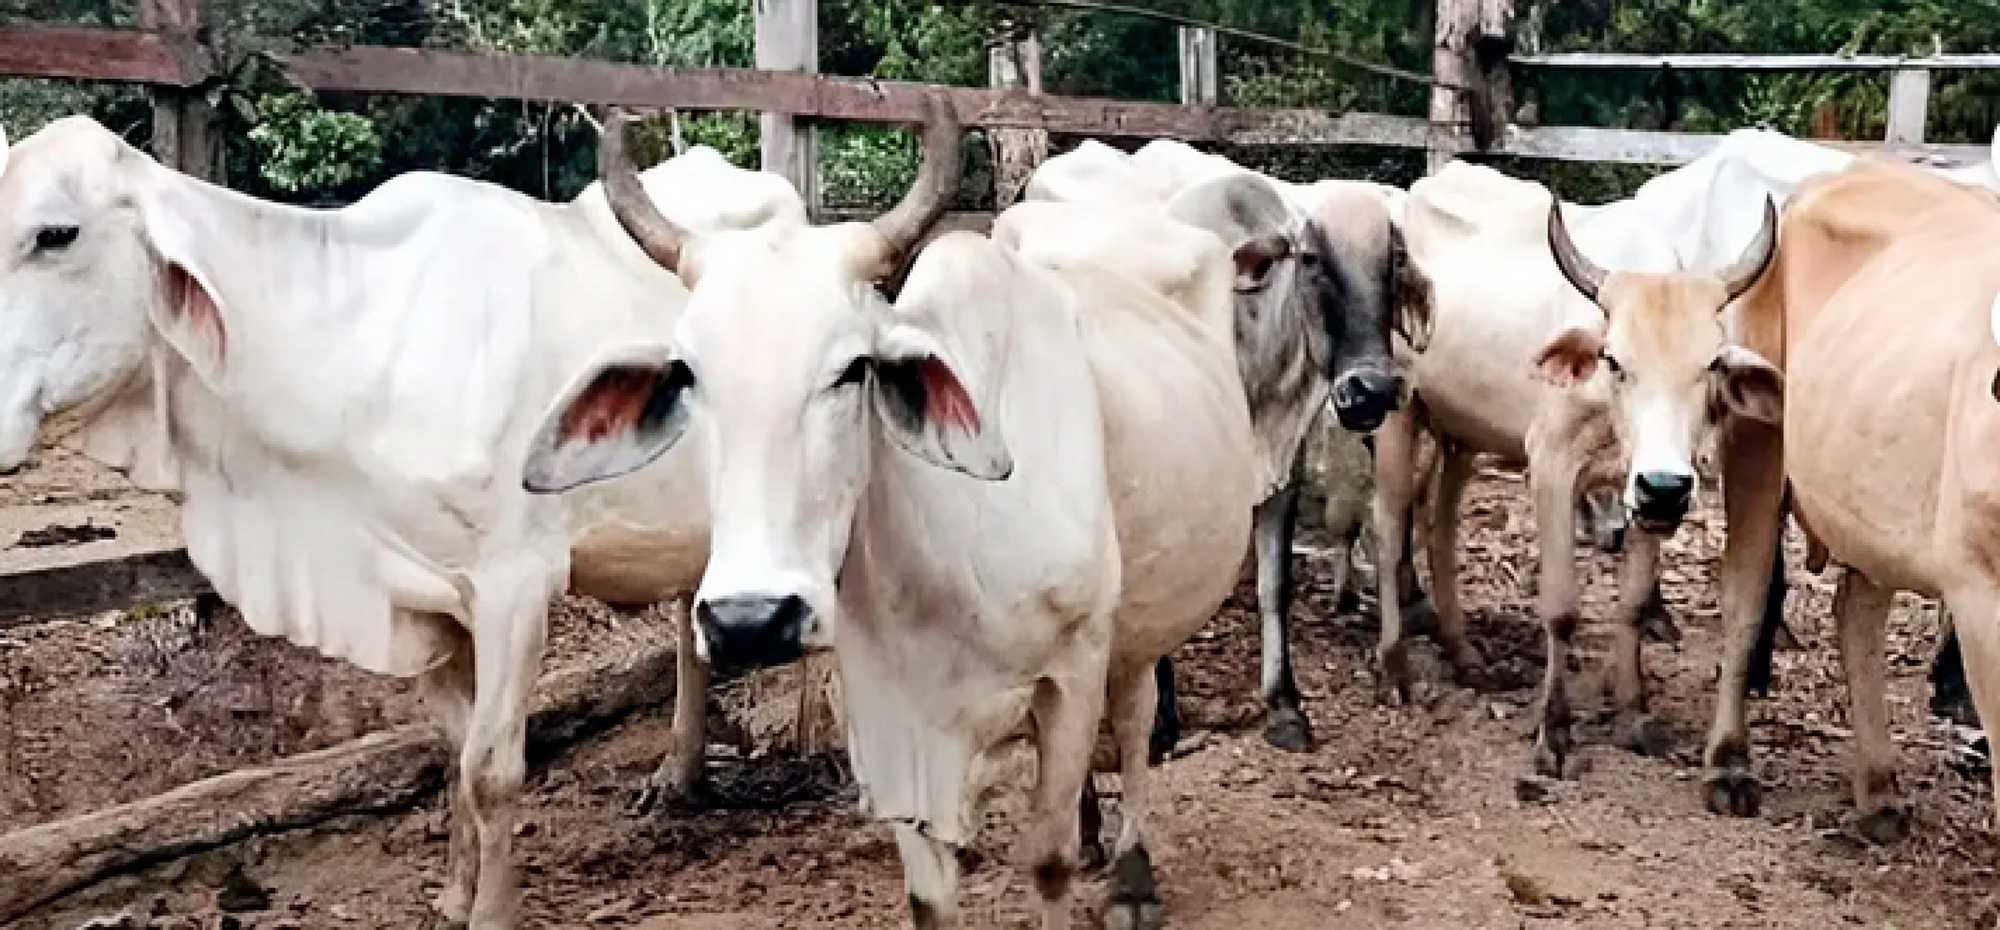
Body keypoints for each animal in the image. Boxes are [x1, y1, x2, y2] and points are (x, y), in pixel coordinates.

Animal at [0, 115, 811, 927]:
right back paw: (679, 773)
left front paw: (491, 912)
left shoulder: (514, 586)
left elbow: (492, 767)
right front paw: (453, 894)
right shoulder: (422, 596)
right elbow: (452, 747)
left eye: (57, 234)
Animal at [522, 95, 1259, 929]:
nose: (751, 620)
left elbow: (1048, 860)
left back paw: (1132, 872)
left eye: (854, 368)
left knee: (1135, 718)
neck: (946, 550)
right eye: (686, 374)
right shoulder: (890, 717)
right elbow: (929, 892)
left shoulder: (1073, 666)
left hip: (1139, 620)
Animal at [1025, 139, 1432, 753]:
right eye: (1311, 258)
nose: (1372, 389)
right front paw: (1161, 722)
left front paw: (1285, 706)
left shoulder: (1284, 461)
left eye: (1394, 260)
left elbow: (1275, 585)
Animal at [1378, 161, 1781, 779]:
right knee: (1390, 520)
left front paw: (1632, 714)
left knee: (1439, 524)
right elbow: (1562, 608)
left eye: (1711, 364)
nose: (1667, 487)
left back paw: (1464, 653)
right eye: (1614, 359)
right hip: (1397, 409)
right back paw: (1395, 665)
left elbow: (1634, 602)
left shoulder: (1641, 493)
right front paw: (1554, 731)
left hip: (1460, 431)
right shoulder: (1550, 466)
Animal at [1701, 159, 2000, 841]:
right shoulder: (1980, 590)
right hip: (1758, 441)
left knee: (1856, 613)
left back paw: (1879, 786)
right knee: (1745, 596)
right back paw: (1728, 764)